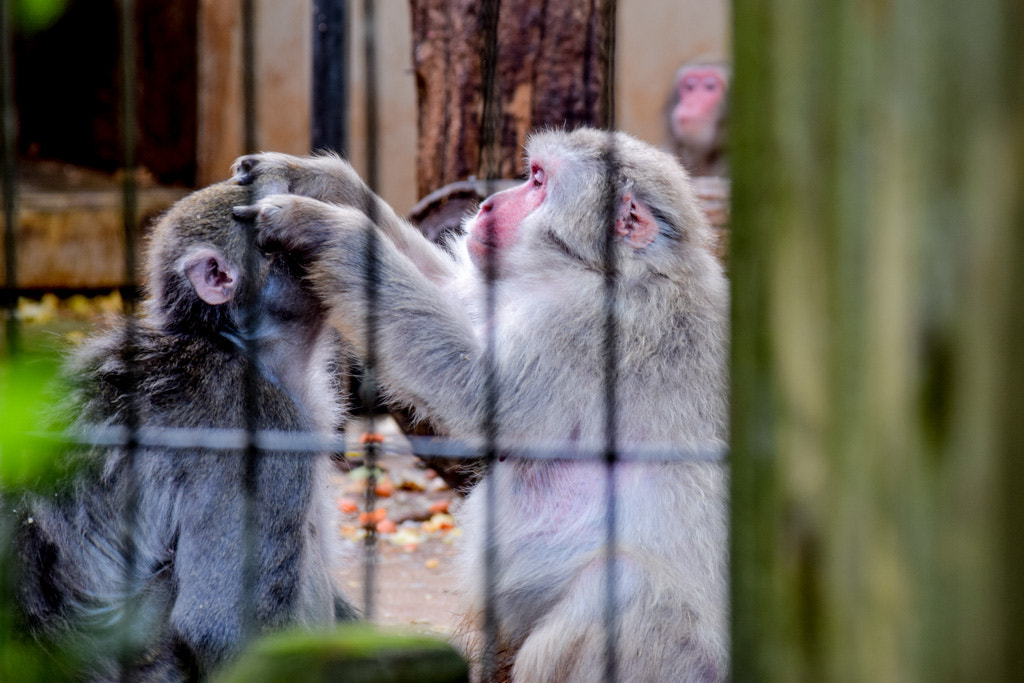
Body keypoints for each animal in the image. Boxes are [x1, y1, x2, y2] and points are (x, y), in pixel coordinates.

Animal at [232, 126, 729, 679]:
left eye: (538, 182)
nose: (489, 203)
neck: (613, 269)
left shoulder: (593, 329)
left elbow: (479, 389)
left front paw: (327, 230)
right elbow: (455, 296)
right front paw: (316, 180)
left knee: (624, 590)